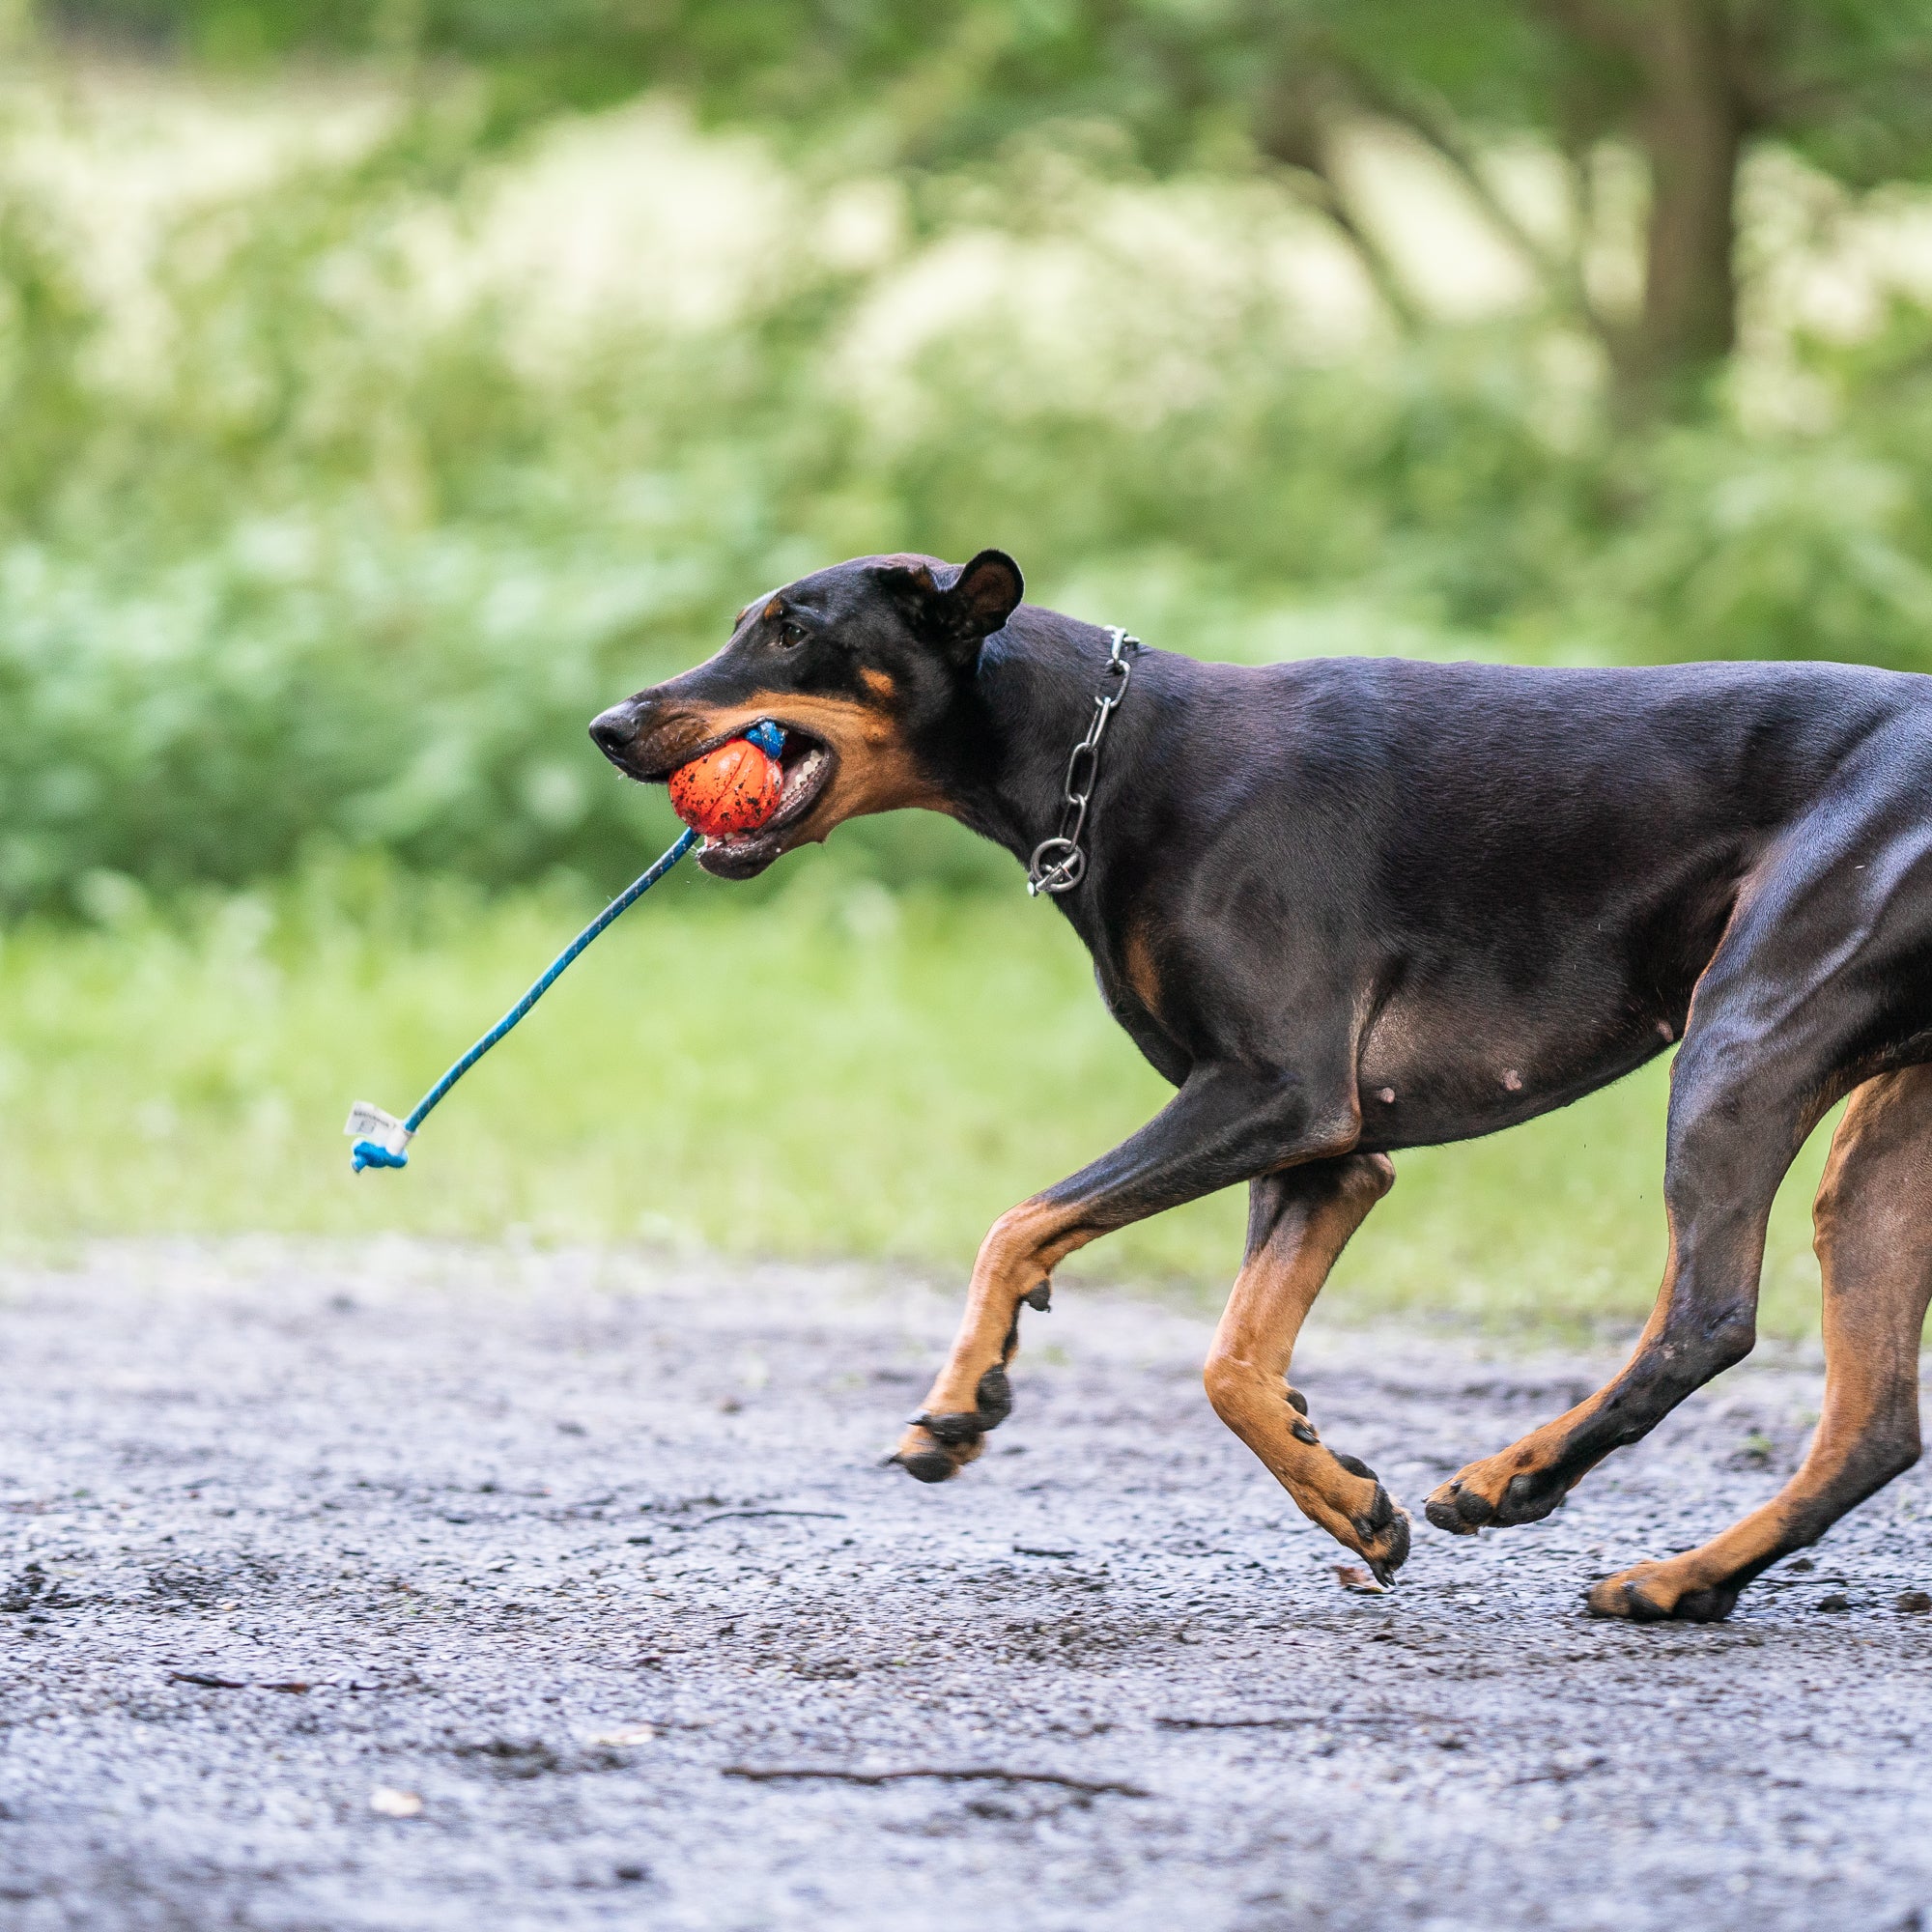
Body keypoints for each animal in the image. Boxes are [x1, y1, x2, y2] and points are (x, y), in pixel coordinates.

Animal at [587, 553, 1932, 1623]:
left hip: (1739, 1036)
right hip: (1876, 1145)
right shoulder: (1326, 1154)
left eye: (792, 629)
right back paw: (1680, 1578)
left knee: (1707, 1314)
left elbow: (1015, 1224)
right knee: (1870, 1423)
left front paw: (957, 1401)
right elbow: (1232, 1361)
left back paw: (1517, 1479)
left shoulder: (1275, 1091)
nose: (608, 725)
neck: (1105, 755)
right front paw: (1343, 1498)